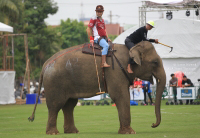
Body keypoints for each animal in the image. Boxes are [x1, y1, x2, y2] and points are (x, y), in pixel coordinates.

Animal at [28, 40, 166, 135]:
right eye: (155, 62)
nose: (152, 124)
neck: (131, 48)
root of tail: (45, 64)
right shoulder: (115, 72)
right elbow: (120, 96)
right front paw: (130, 132)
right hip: (55, 83)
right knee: (55, 105)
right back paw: (53, 133)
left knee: (69, 105)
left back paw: (72, 132)